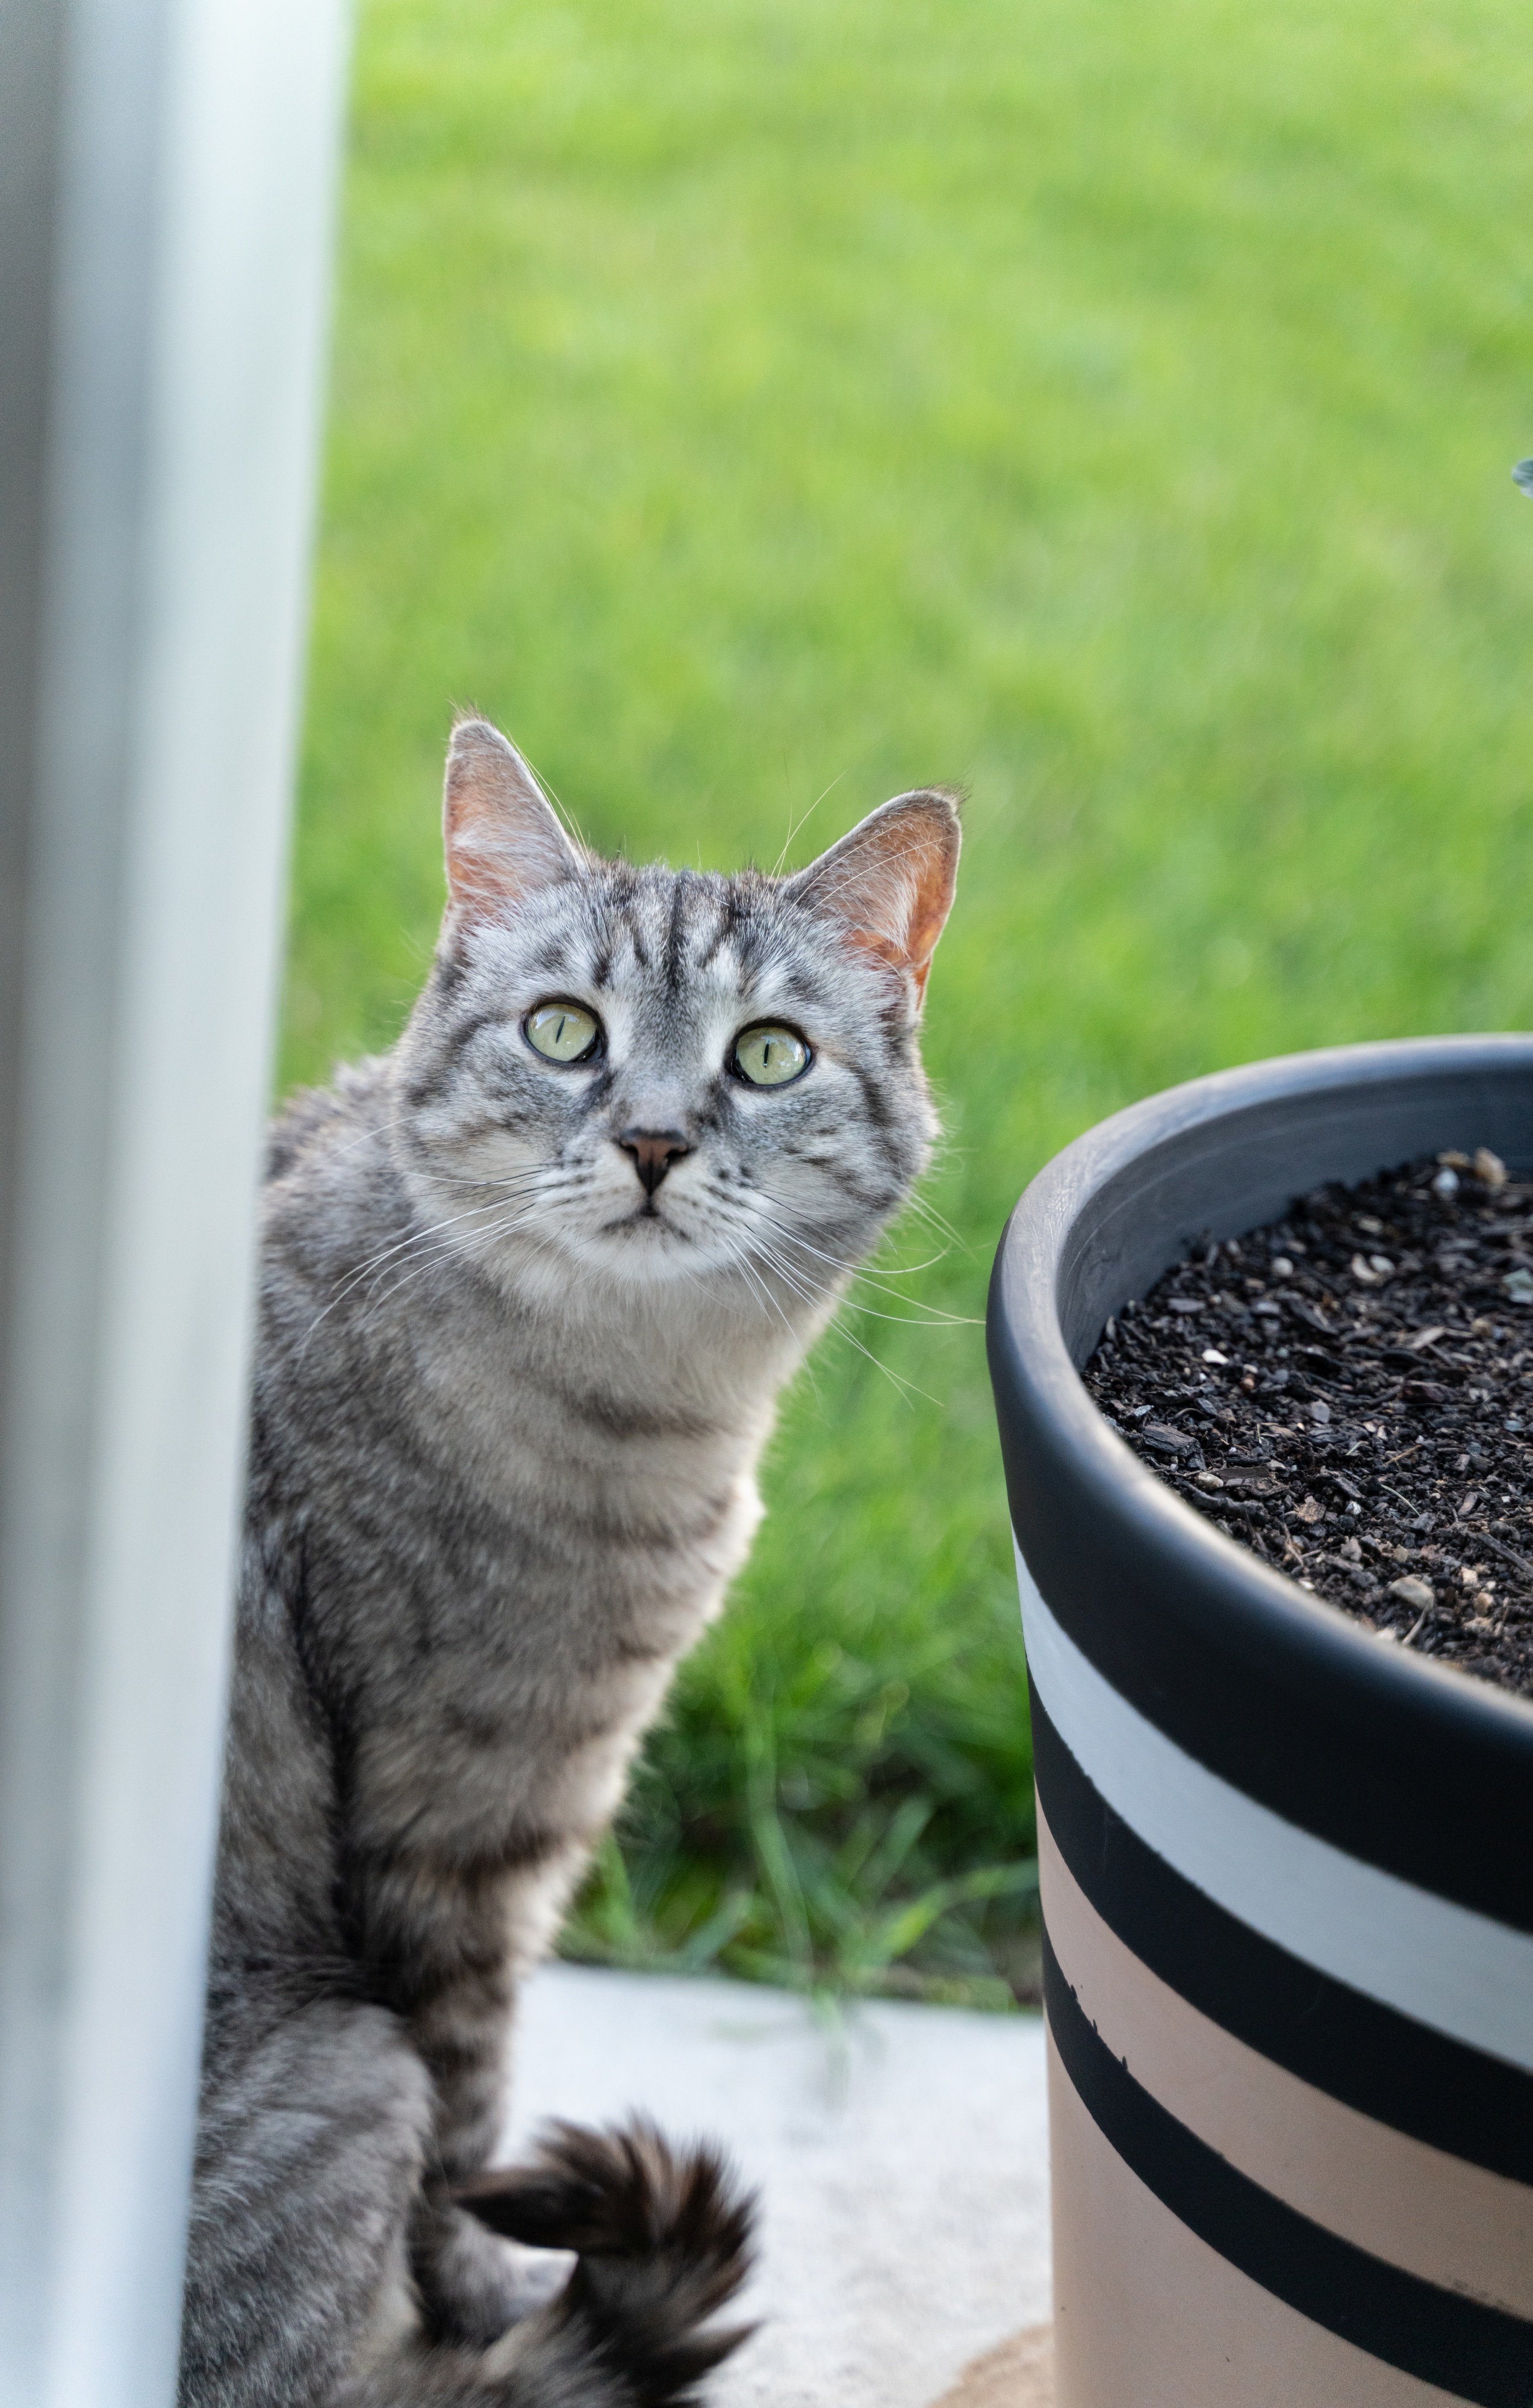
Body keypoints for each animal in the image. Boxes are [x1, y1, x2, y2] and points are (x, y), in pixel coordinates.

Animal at [179, 718, 959, 2408]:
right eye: (561, 1030)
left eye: (767, 1054)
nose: (654, 1139)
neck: (646, 1400)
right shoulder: (460, 1842)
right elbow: (470, 2131)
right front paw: (487, 2293)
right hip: (347, 2073)